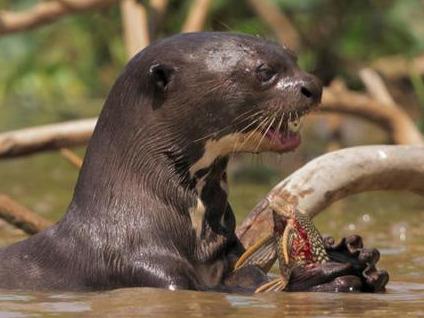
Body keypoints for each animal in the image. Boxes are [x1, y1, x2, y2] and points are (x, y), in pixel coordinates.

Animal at [0, 32, 384, 290]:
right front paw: (323, 274)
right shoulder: (148, 268)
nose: (313, 86)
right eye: (264, 72)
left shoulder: (228, 261)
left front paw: (350, 256)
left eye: (293, 57)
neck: (133, 219)